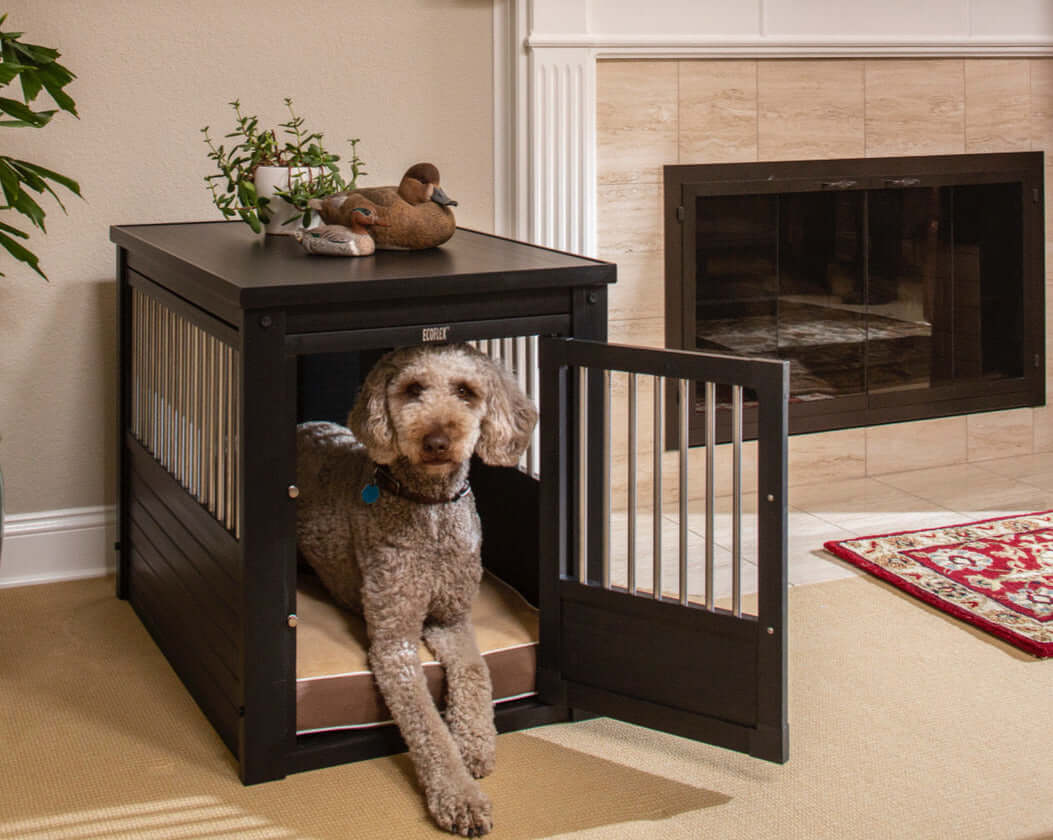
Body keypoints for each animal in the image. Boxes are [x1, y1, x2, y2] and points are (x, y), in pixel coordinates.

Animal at [296, 341, 539, 833]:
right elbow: (428, 727)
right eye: (412, 389)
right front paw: (460, 797)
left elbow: (476, 673)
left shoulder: (453, 620)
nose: (437, 442)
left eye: (465, 391)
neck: (429, 509)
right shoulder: (395, 641)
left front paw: (476, 744)